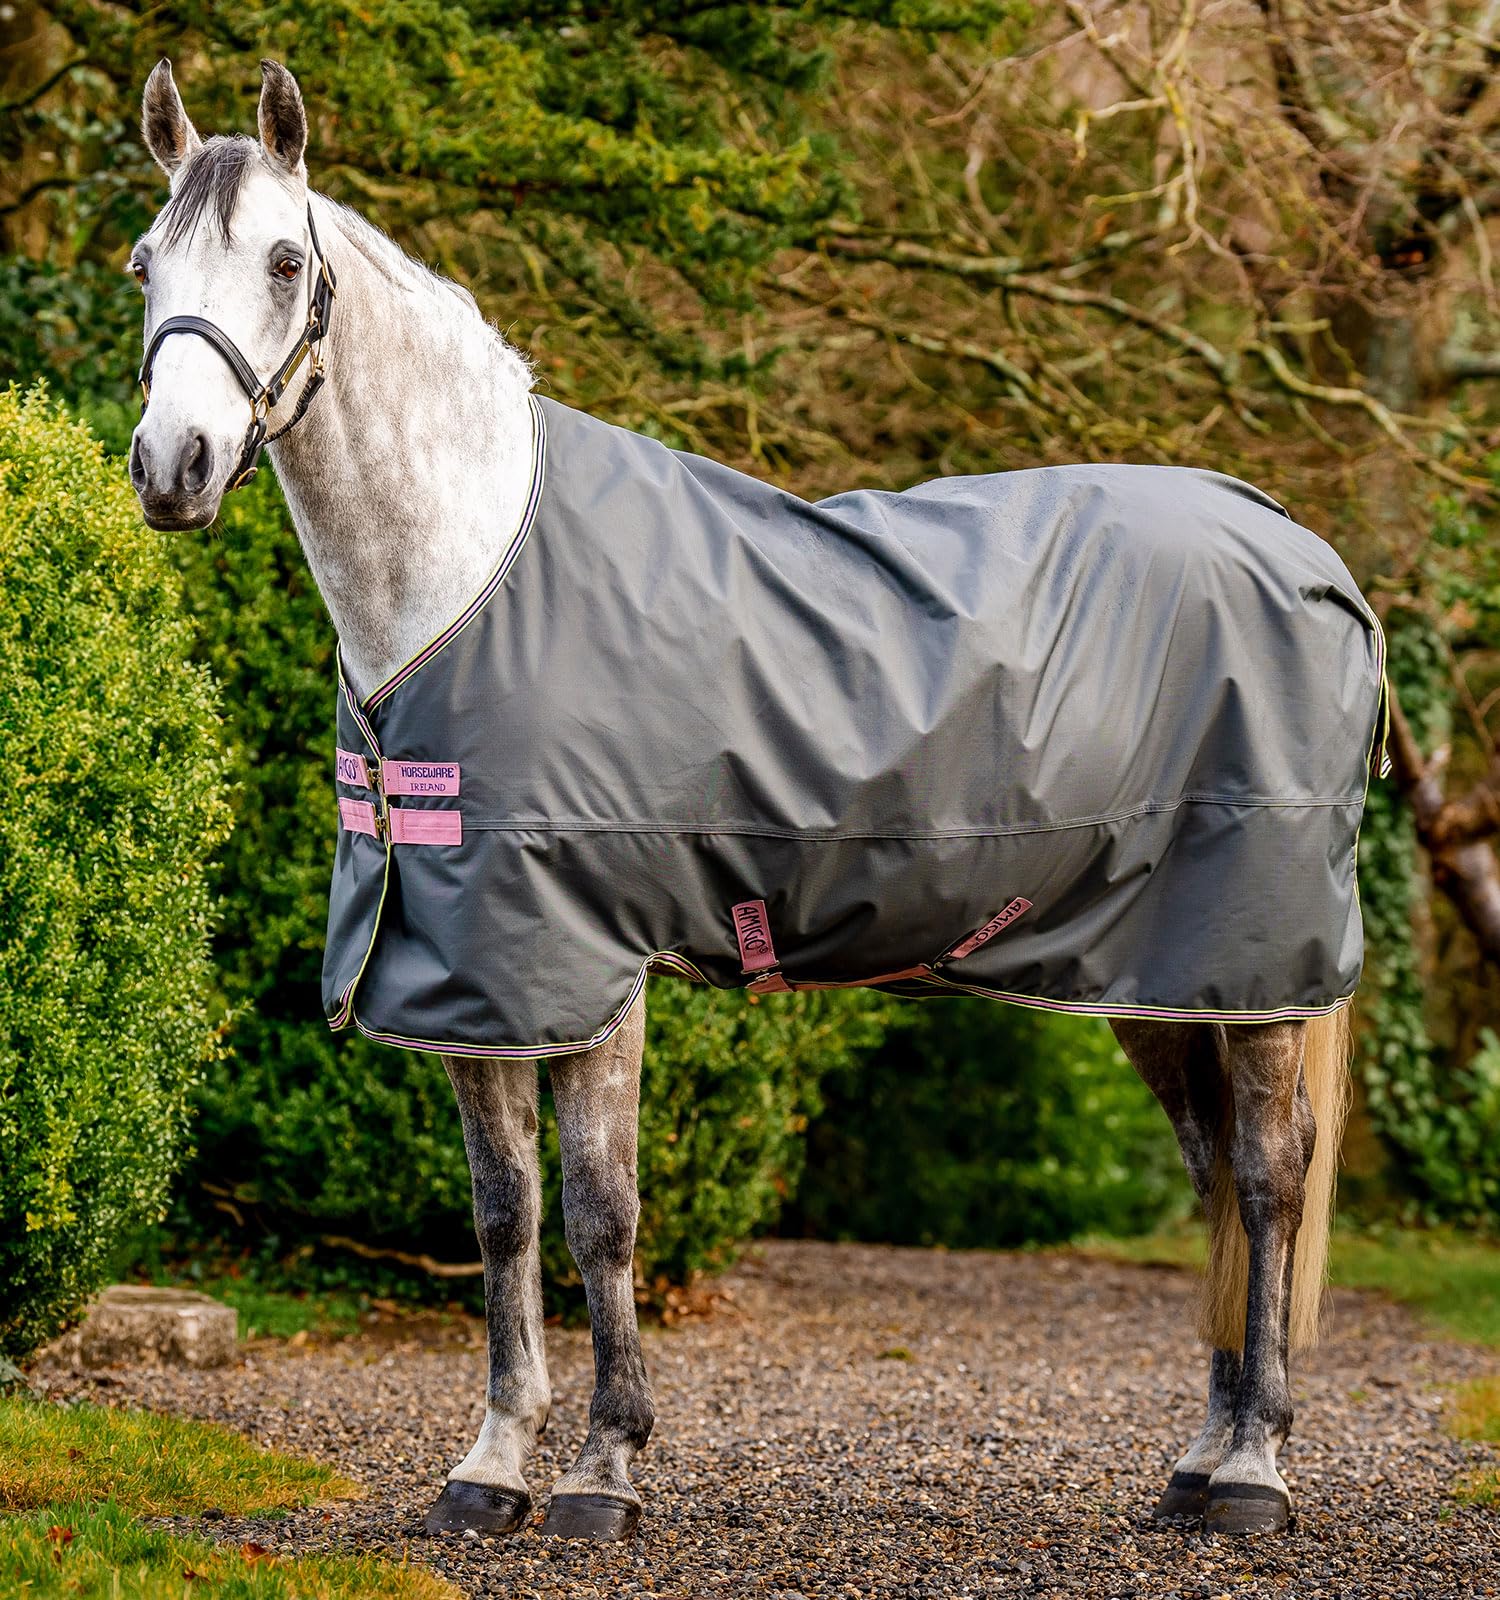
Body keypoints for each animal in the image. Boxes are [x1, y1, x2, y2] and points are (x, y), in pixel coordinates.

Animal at [127, 59, 1384, 1543]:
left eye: (280, 258)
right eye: (145, 263)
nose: (171, 466)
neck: (465, 577)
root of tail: (1305, 548)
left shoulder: (588, 963)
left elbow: (601, 1215)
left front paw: (603, 1474)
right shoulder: (470, 977)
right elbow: (504, 1218)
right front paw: (490, 1470)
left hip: (1255, 973)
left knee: (1270, 1179)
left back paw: (1254, 1474)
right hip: (1159, 983)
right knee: (1213, 1183)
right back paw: (1199, 1462)